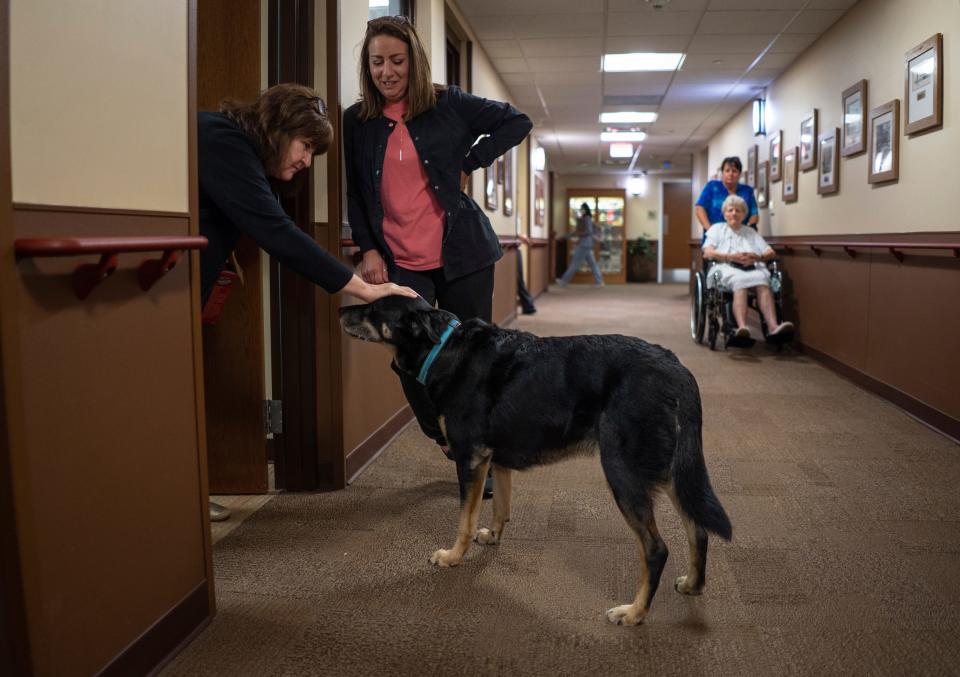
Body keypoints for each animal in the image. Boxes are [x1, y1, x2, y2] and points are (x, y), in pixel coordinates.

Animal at [342, 296, 732, 624]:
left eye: (373, 308)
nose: (341, 308)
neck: (444, 349)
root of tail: (677, 368)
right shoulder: (493, 458)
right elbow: (500, 507)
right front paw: (493, 537)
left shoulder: (469, 457)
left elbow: (464, 520)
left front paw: (453, 557)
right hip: (671, 470)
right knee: (698, 528)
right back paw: (694, 584)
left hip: (624, 473)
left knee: (656, 549)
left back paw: (635, 613)